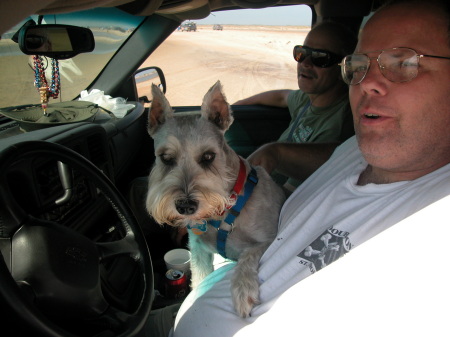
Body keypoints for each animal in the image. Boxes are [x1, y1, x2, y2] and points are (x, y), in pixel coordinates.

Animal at [145, 80, 284, 316]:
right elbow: (200, 278)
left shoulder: (267, 238)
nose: (185, 206)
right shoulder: (199, 250)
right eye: (165, 157)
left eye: (208, 156)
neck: (224, 212)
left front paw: (243, 289)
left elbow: (249, 255)